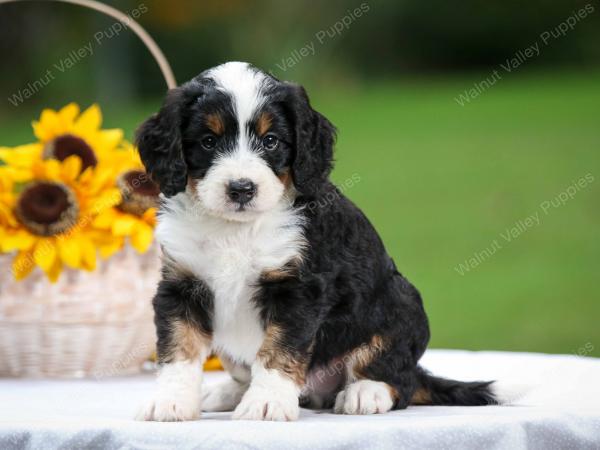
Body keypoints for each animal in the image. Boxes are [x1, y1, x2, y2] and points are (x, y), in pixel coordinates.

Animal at [137, 60, 506, 422]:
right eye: (208, 142)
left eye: (270, 141)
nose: (241, 189)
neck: (235, 230)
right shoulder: (181, 285)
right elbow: (179, 350)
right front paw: (171, 402)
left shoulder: (298, 289)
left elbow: (278, 351)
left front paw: (267, 403)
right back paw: (228, 393)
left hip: (401, 303)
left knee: (398, 377)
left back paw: (365, 392)